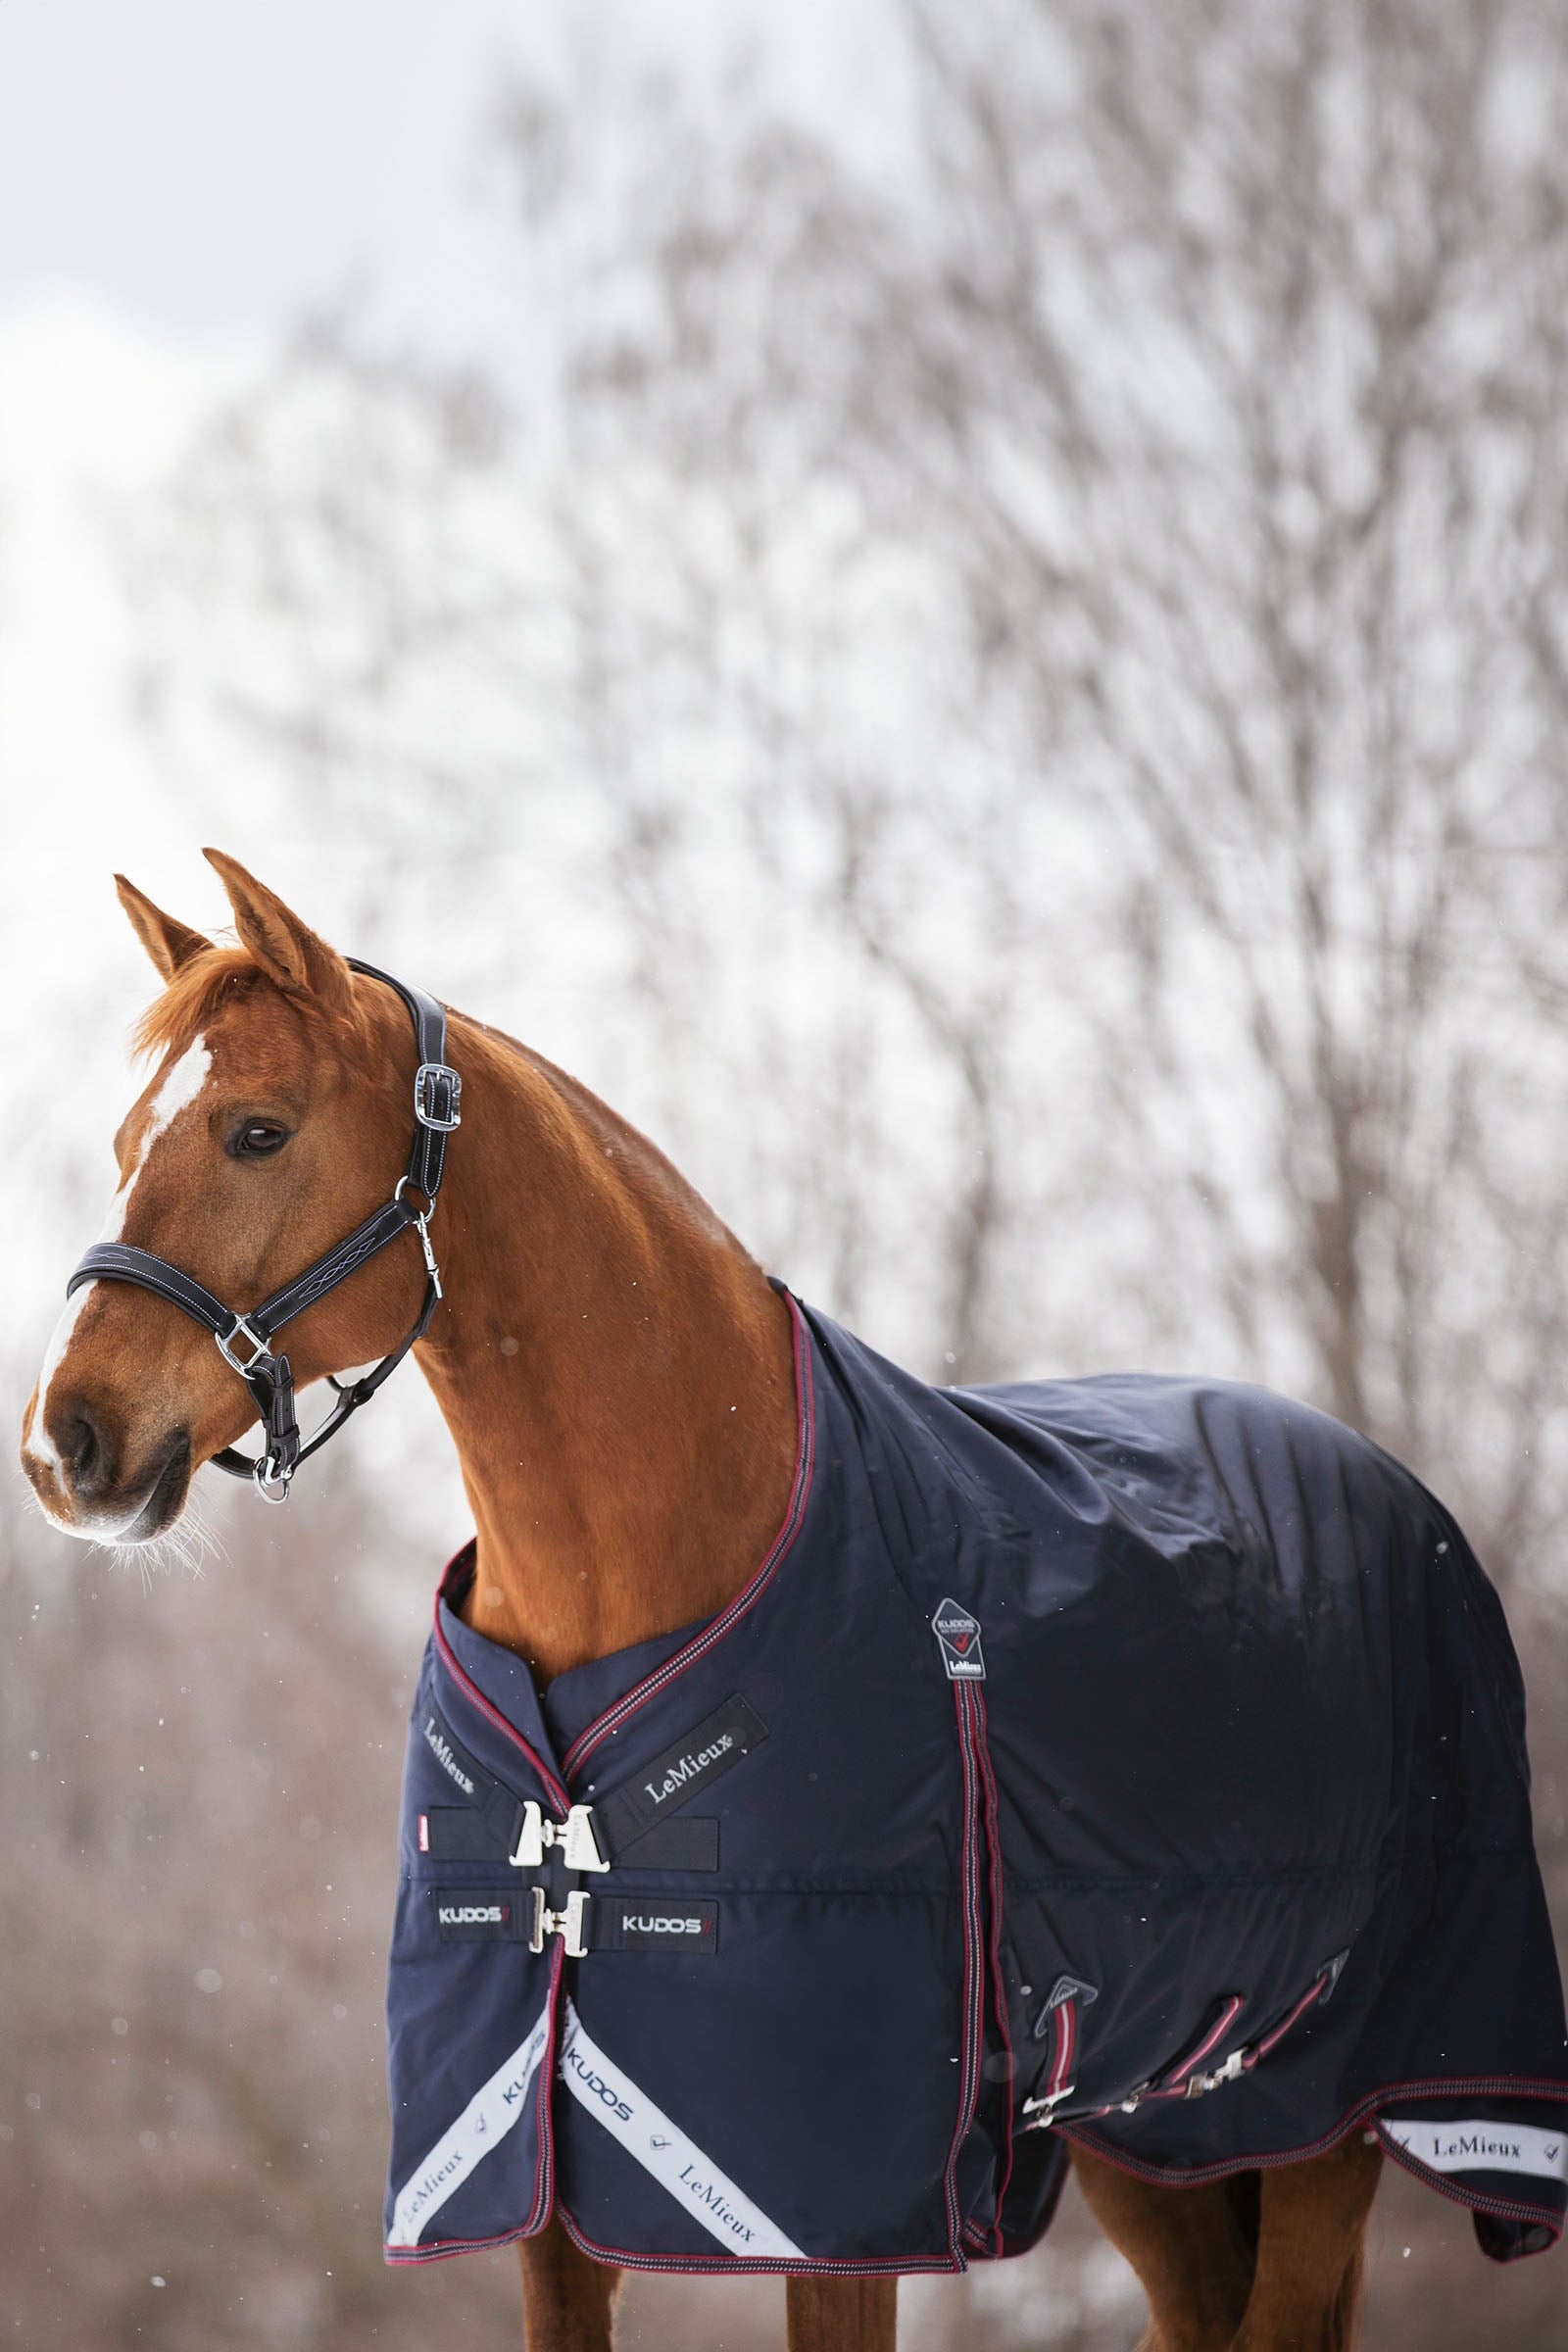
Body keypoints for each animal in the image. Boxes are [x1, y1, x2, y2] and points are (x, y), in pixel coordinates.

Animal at [24, 850, 1534, 2352]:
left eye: (257, 1132)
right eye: (126, 1141)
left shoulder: (836, 2210)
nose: (64, 1444)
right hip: (1150, 2130)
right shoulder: (542, 2183)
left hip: (1325, 2116)